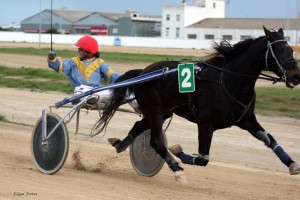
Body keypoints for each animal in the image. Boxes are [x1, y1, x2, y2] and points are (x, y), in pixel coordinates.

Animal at [95, 26, 300, 181]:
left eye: (291, 49)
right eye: (280, 50)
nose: (296, 77)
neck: (229, 82)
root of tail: (143, 72)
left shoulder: (246, 119)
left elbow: (270, 139)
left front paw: (292, 164)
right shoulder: (205, 123)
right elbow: (203, 159)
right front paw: (177, 151)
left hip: (163, 112)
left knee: (139, 126)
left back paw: (120, 144)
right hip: (155, 111)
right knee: (155, 141)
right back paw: (176, 169)